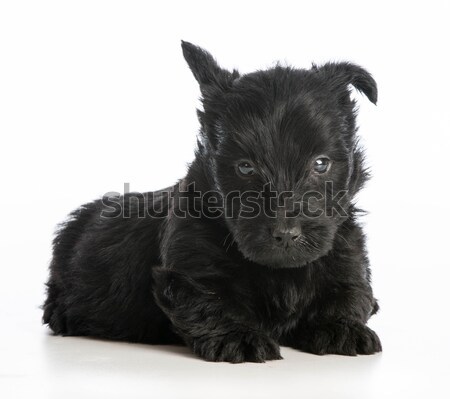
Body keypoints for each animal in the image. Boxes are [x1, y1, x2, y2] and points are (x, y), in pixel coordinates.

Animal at [42, 42, 382, 364]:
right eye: (245, 167)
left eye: (321, 163)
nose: (286, 234)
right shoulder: (191, 267)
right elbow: (211, 299)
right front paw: (239, 337)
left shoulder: (345, 248)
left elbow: (351, 291)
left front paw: (341, 328)